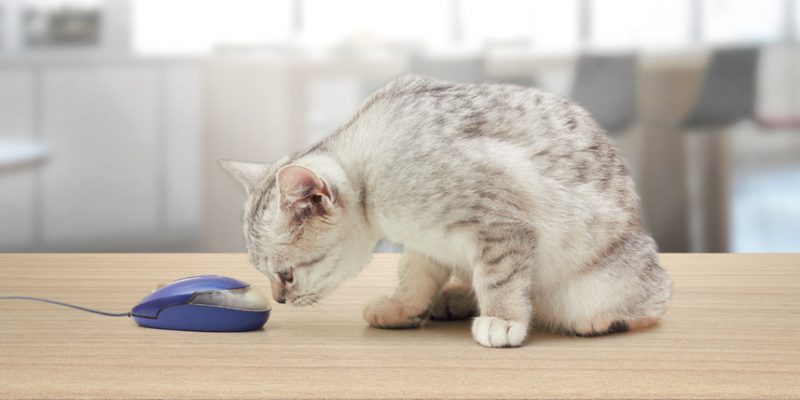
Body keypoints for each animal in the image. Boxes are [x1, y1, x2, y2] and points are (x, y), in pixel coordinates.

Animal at [219, 74, 668, 346]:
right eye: (268, 276)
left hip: (603, 282)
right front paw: (402, 306)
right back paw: (454, 298)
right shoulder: (425, 241)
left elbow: (500, 280)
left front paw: (502, 319)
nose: (278, 300)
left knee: (654, 301)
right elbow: (413, 277)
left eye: (286, 275)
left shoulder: (500, 224)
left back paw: (603, 319)